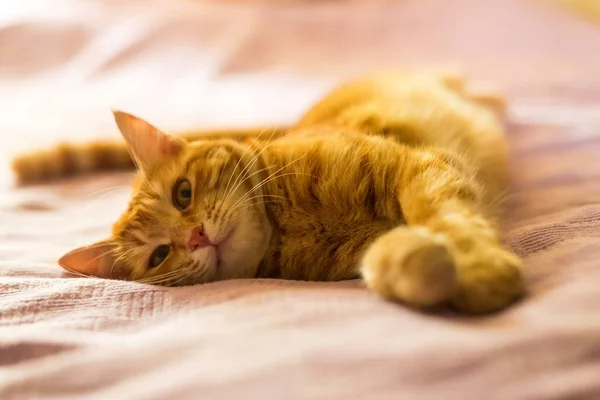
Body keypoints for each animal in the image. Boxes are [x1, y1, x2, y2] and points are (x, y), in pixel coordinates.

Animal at [11, 72, 524, 316]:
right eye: (159, 256)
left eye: (183, 194)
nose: (196, 237)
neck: (288, 222)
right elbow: (396, 260)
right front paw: (425, 269)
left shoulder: (420, 170)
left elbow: (449, 220)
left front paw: (481, 274)